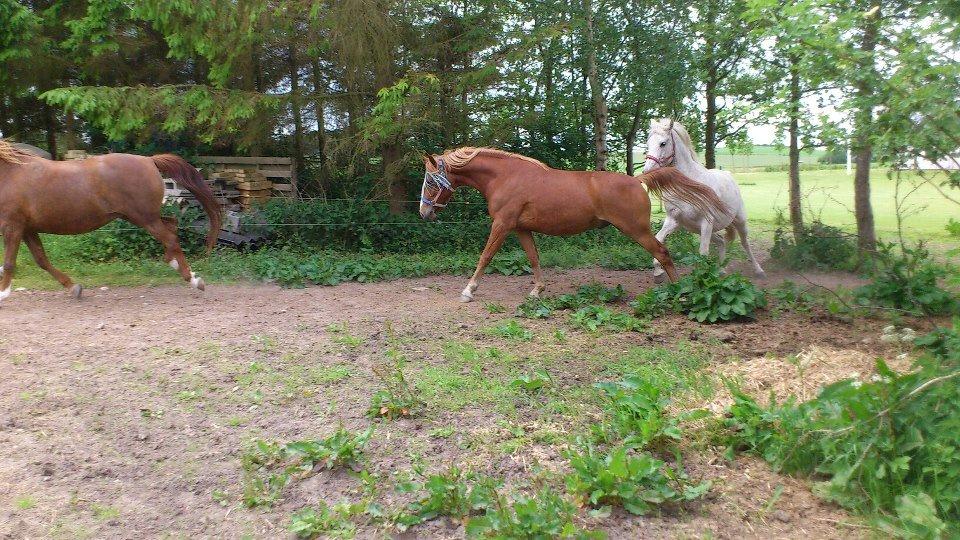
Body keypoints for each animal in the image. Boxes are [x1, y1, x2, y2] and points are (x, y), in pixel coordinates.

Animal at [0, 140, 219, 304]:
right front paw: (74, 288)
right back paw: (178, 266)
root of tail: (149, 160)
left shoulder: (13, 225)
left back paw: (194, 280)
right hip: (139, 216)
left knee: (170, 238)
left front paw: (3, 294)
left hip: (144, 217)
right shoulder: (27, 228)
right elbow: (41, 260)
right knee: (172, 226)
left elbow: (9, 262)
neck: (9, 174)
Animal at [420, 146, 728, 302]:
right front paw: (537, 290)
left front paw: (468, 290)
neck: (505, 177)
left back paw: (678, 292)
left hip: (636, 230)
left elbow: (485, 256)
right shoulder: (520, 228)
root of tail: (636, 180)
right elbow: (533, 257)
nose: (424, 212)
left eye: (430, 181)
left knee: (663, 253)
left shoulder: (502, 225)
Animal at [640, 119, 768, 282]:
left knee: (745, 243)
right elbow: (658, 240)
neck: (689, 185)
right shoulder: (673, 221)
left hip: (739, 221)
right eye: (648, 143)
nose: (646, 172)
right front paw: (658, 273)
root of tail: (728, 175)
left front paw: (702, 279)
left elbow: (703, 252)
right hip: (703, 229)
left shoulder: (706, 222)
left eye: (663, 143)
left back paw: (759, 271)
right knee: (721, 241)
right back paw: (721, 271)